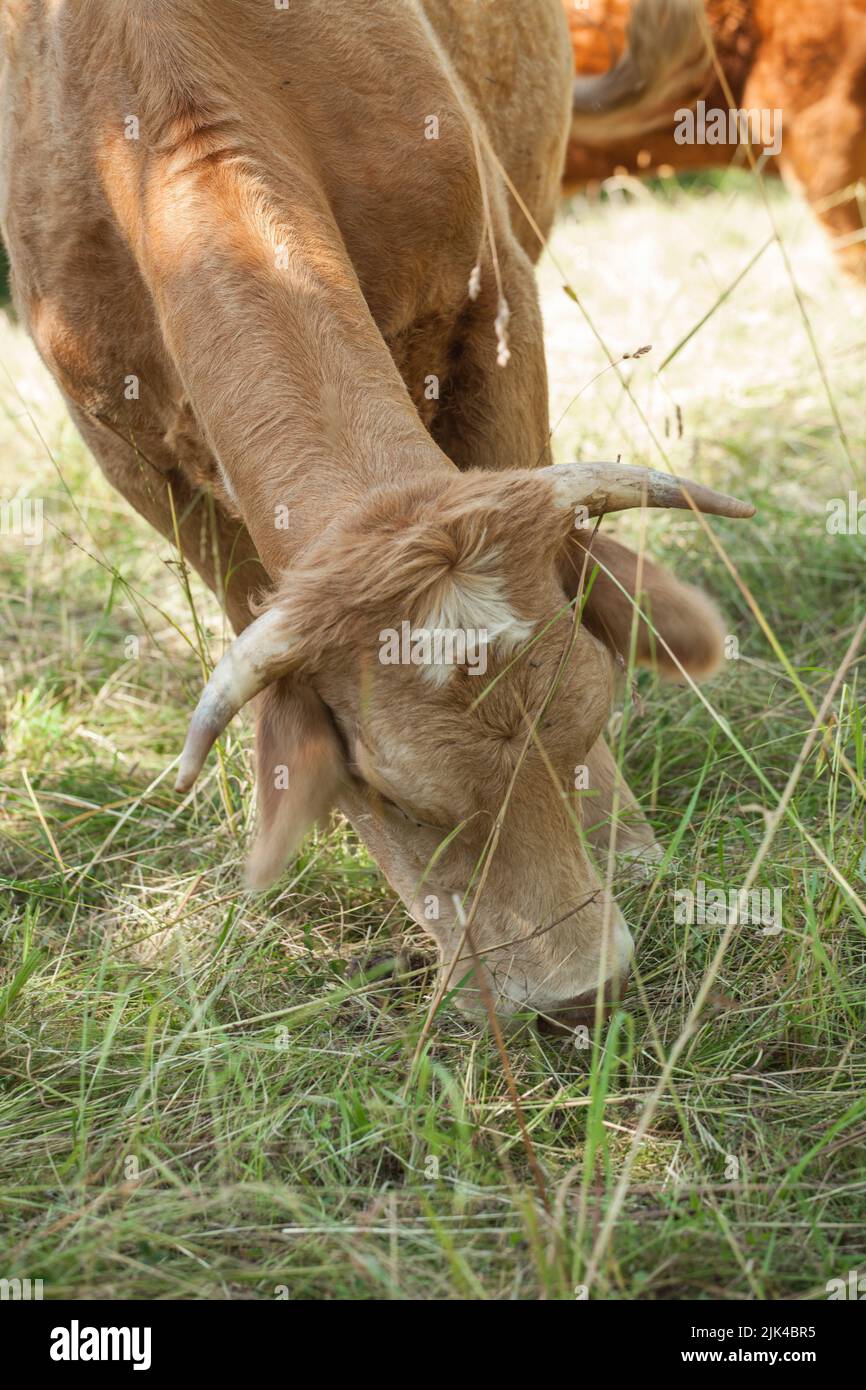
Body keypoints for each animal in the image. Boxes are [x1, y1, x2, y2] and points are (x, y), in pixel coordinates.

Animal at [0, 0, 750, 1023]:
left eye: (590, 715)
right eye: (392, 795)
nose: (578, 994)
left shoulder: (498, 300)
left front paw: (623, 842)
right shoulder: (131, 452)